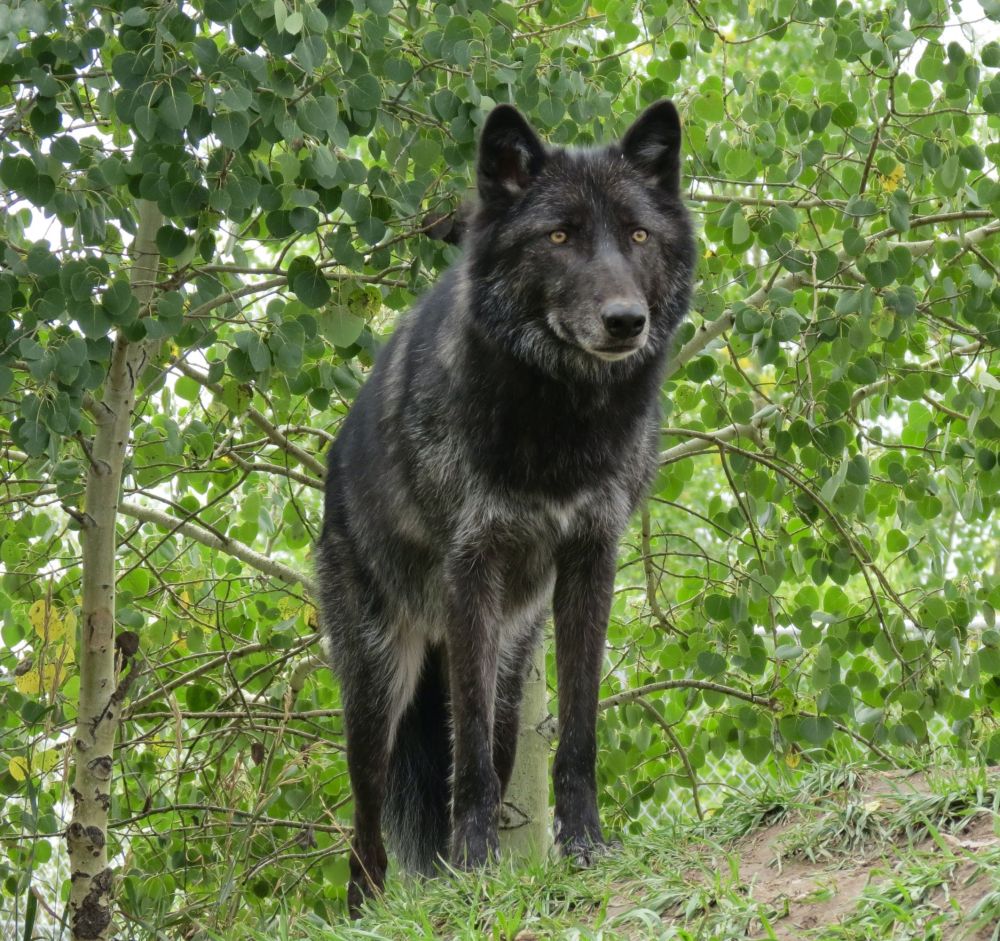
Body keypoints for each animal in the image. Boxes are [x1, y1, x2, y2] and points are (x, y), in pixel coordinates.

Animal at [316, 99, 695, 913]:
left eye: (638, 235)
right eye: (559, 236)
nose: (627, 320)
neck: (561, 420)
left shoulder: (592, 559)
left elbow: (578, 729)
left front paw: (584, 845)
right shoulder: (471, 567)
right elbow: (468, 772)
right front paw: (477, 859)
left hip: (511, 670)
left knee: (487, 743)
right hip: (378, 687)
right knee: (367, 827)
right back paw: (370, 909)